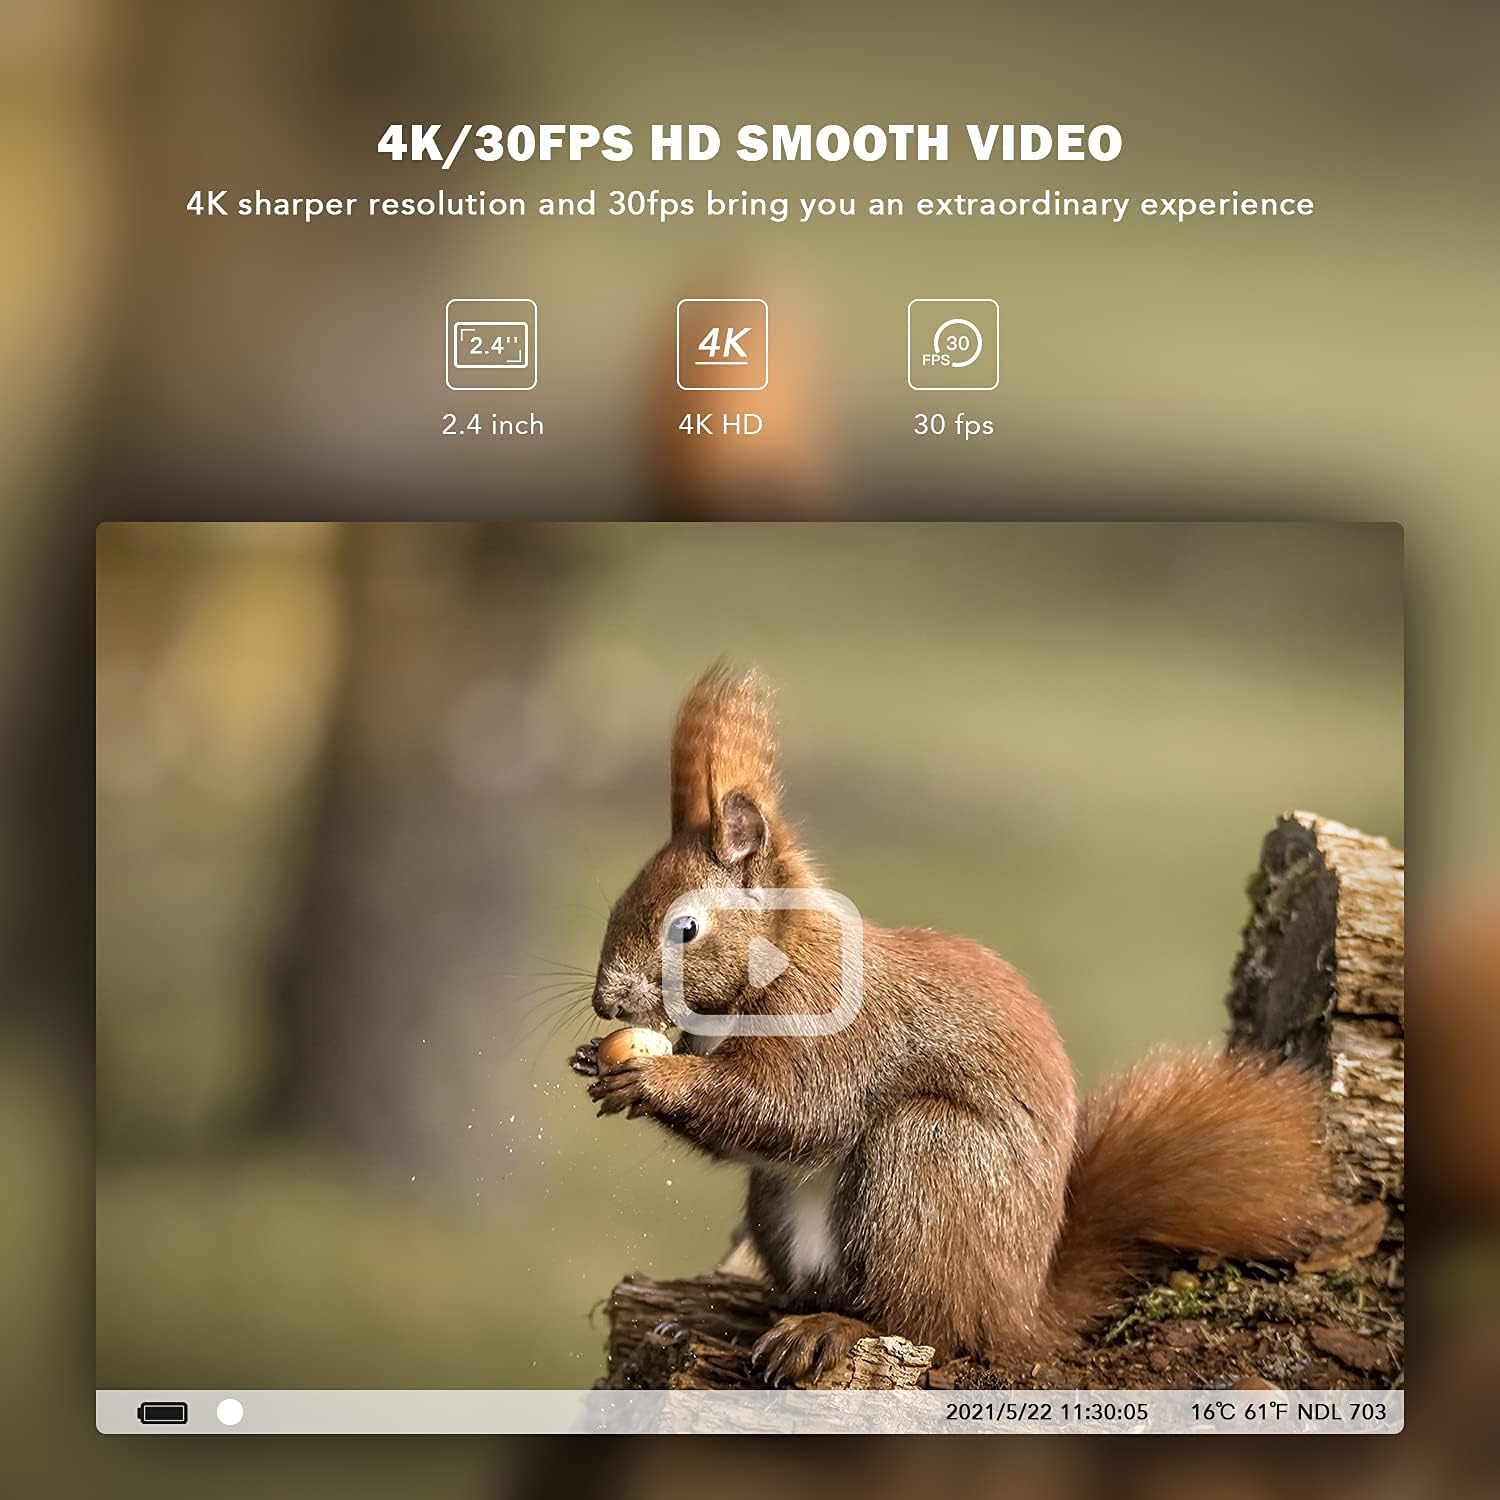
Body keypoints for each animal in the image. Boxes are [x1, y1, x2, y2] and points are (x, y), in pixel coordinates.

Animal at [569, 664, 1327, 1386]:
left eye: (685, 928)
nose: (608, 1003)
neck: (777, 959)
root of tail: (1019, 1313)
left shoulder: (837, 1028)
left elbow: (795, 1108)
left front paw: (654, 1077)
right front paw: (594, 1061)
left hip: (928, 1162)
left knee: (925, 1324)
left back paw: (833, 1329)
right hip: (788, 1204)